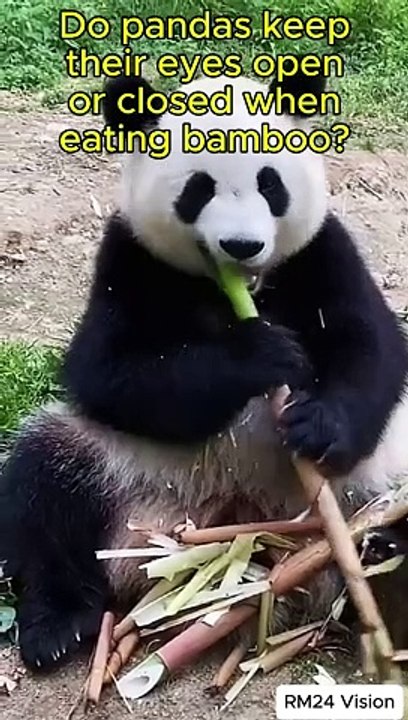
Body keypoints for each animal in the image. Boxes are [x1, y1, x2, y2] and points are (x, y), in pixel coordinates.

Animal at [1, 66, 408, 672]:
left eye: (270, 183)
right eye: (199, 188)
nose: (242, 245)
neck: (238, 291)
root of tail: (246, 519)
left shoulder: (321, 252)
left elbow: (370, 346)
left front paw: (317, 423)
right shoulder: (130, 260)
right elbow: (109, 372)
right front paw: (262, 354)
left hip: (371, 484)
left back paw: (388, 556)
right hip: (124, 465)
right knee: (43, 486)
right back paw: (58, 626)